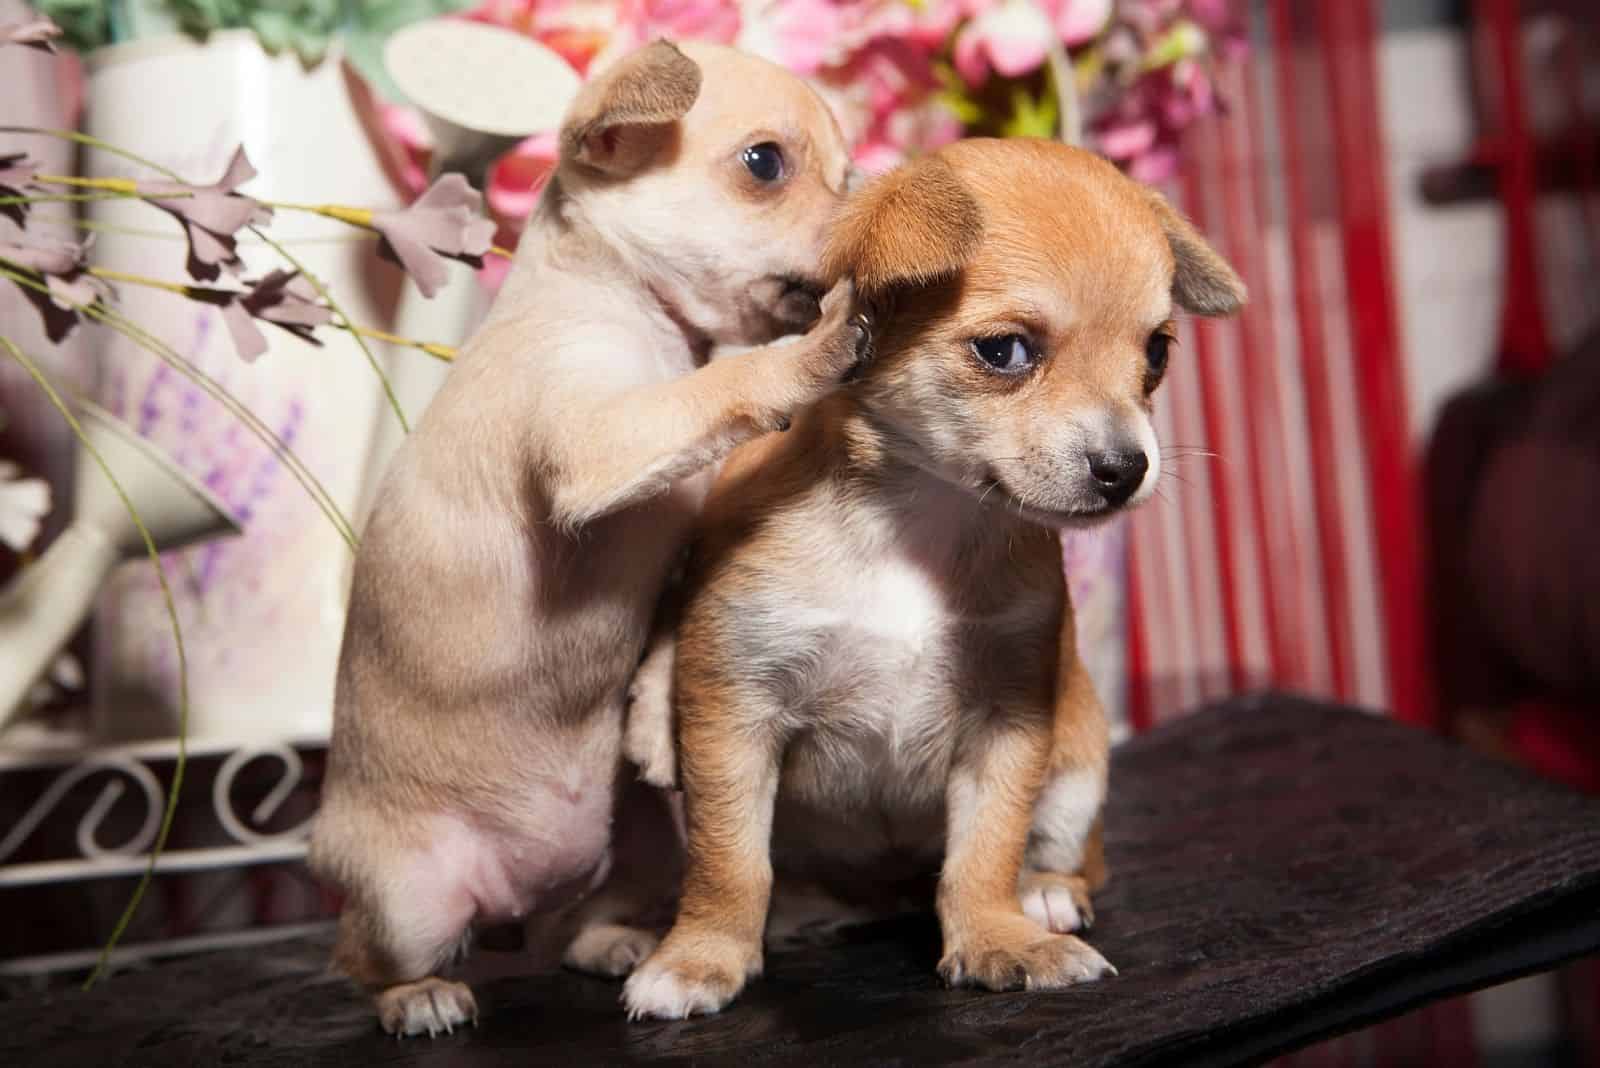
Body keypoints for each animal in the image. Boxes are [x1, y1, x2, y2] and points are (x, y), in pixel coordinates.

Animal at [305, 41, 870, 1036]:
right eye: (766, 165)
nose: (873, 197)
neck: (640, 317)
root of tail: (510, 909)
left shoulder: (678, 529)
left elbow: (669, 624)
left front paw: (651, 713)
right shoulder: (600, 443)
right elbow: (727, 386)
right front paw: (810, 353)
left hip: (637, 842)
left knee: (578, 917)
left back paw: (608, 939)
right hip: (409, 902)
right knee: (363, 958)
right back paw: (418, 997)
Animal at [617, 137, 1241, 1023]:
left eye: (1156, 354)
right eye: (1004, 351)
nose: (1126, 468)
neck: (917, 525)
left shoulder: (1008, 722)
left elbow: (984, 847)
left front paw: (996, 938)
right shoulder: (734, 712)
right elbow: (729, 859)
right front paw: (703, 955)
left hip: (1079, 762)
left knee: (1069, 853)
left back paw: (1044, 892)